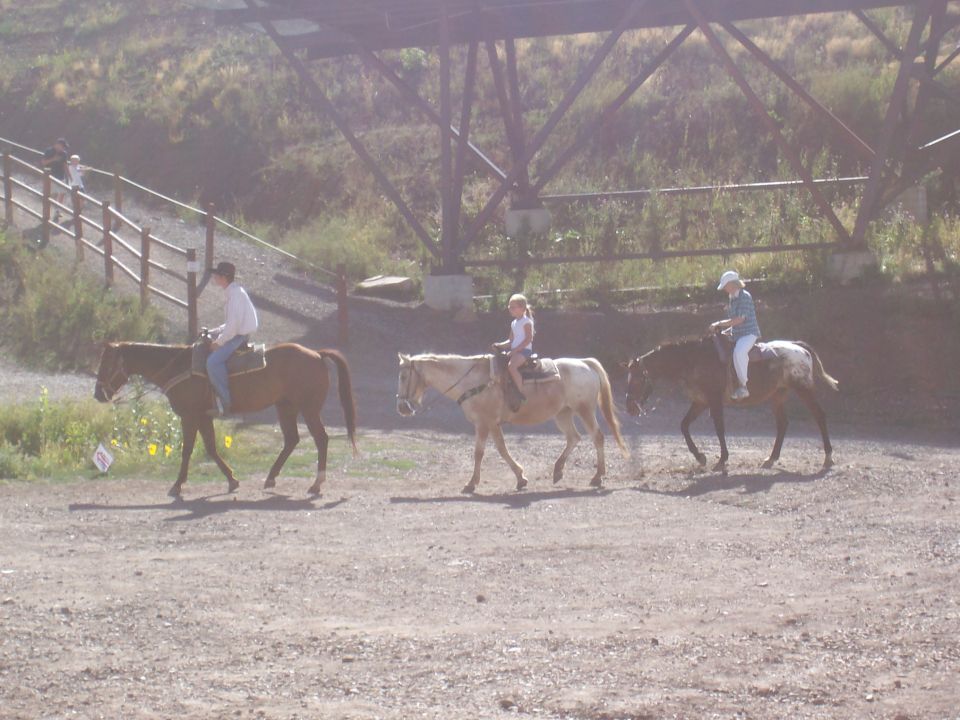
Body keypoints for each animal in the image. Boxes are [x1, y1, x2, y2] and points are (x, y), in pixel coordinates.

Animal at [94, 342, 357, 497]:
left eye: (106, 364)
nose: (98, 394)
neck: (180, 367)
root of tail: (317, 354)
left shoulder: (190, 416)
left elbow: (187, 449)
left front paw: (177, 485)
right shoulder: (203, 417)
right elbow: (211, 447)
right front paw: (232, 480)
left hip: (308, 409)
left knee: (321, 439)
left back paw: (316, 484)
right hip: (286, 407)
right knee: (292, 439)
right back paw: (271, 478)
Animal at [396, 353, 627, 493]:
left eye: (404, 376)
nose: (402, 408)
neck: (472, 382)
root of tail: (585, 363)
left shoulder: (485, 423)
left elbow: (484, 452)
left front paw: (472, 483)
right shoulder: (490, 424)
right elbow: (498, 450)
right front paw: (520, 478)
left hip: (584, 410)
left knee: (597, 437)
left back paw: (597, 476)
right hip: (563, 413)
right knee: (573, 438)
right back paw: (558, 471)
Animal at [624, 336, 838, 471]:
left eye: (637, 380)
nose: (629, 407)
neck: (693, 360)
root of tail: (799, 347)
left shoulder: (714, 400)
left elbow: (719, 428)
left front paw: (722, 460)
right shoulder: (700, 401)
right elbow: (684, 425)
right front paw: (700, 457)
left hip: (803, 389)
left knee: (819, 415)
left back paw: (828, 457)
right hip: (778, 395)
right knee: (783, 423)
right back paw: (771, 459)